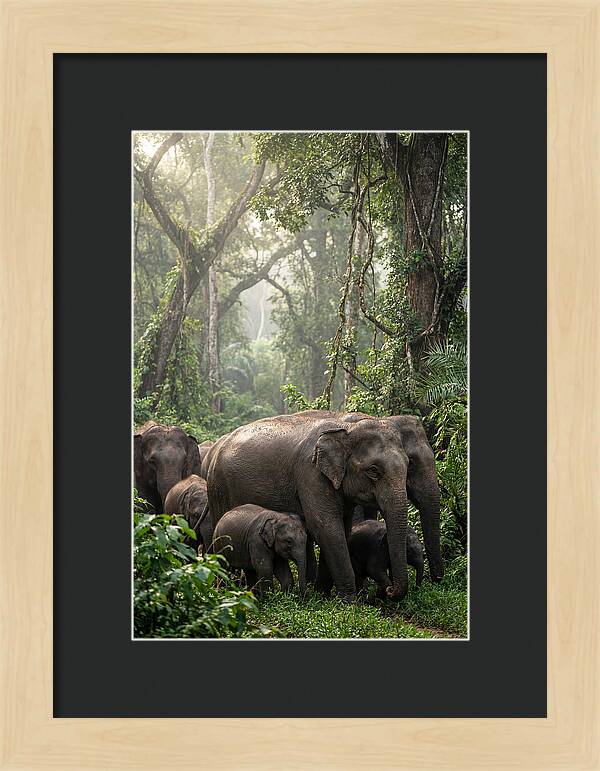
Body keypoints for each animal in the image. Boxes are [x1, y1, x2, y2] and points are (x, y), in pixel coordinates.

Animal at [206, 411, 412, 601]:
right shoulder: (311, 475)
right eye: (373, 471)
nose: (389, 590)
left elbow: (341, 529)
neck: (346, 428)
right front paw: (349, 602)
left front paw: (322, 595)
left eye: (408, 465)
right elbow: (326, 527)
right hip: (218, 489)